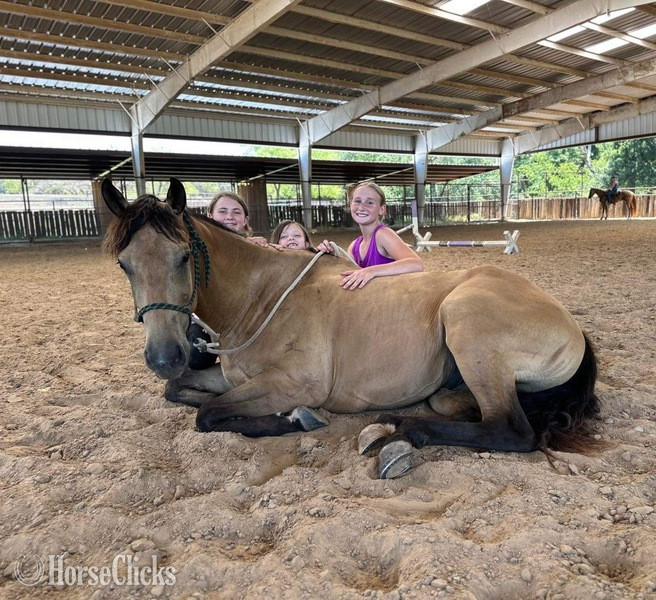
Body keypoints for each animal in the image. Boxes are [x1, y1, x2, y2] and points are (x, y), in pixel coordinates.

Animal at [102, 178, 600, 479]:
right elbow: (181, 394)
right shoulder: (233, 378)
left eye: (183, 256)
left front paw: (291, 420)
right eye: (123, 264)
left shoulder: (292, 383)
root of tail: (571, 326)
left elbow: (208, 415)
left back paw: (400, 433)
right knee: (458, 406)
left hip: (465, 321)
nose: (164, 357)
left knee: (511, 429)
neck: (262, 299)